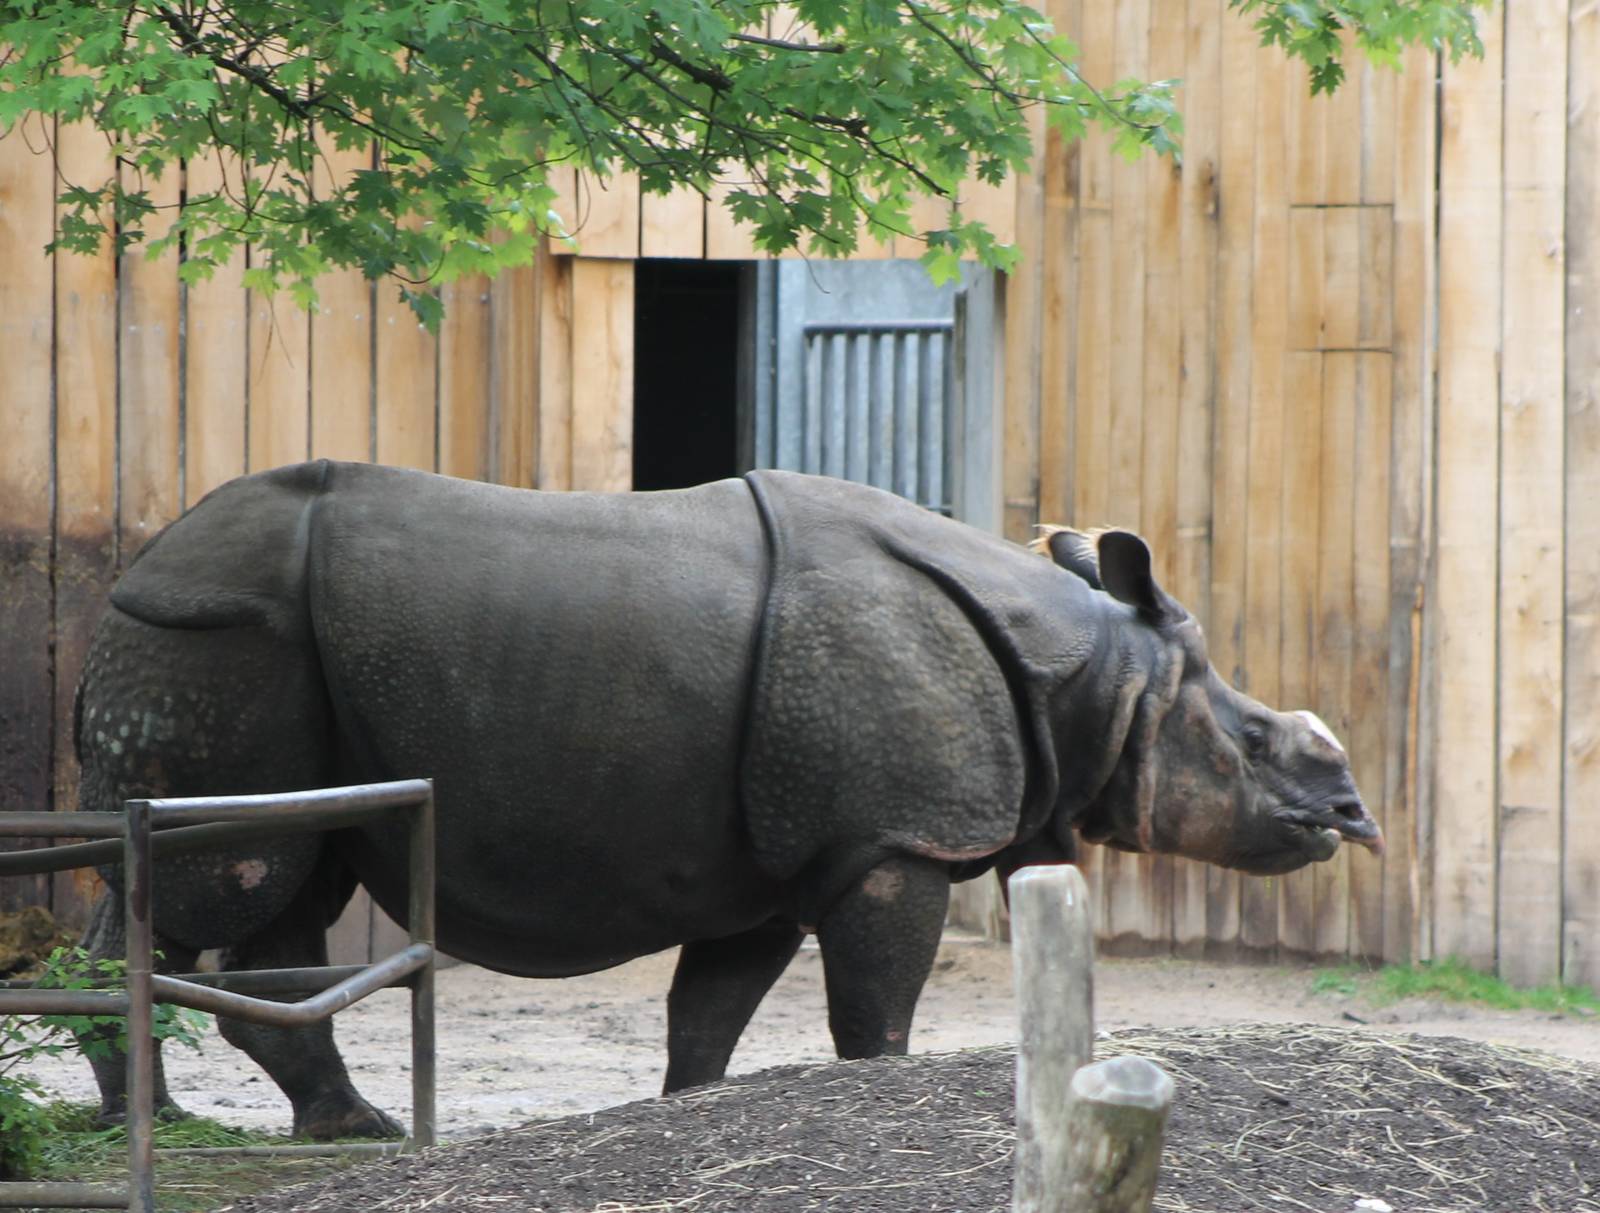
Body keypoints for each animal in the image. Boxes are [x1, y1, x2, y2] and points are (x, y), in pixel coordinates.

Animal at [72, 461, 1383, 1138]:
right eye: (1256, 743)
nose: (1354, 817)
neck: (1096, 675)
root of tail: (133, 570)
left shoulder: (770, 869)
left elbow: (706, 1018)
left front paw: (683, 1117)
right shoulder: (891, 840)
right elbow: (873, 1010)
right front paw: (875, 1095)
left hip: (248, 654)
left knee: (291, 874)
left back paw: (323, 1127)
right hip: (216, 641)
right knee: (218, 872)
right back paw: (189, 1125)